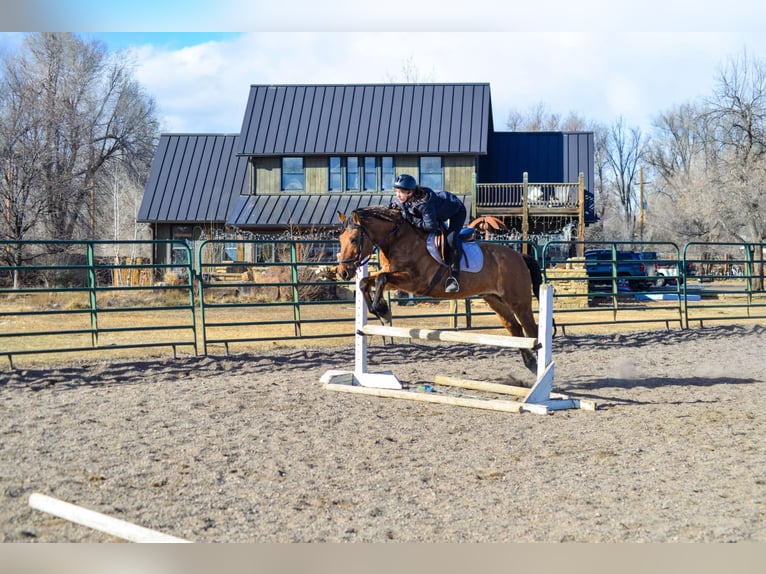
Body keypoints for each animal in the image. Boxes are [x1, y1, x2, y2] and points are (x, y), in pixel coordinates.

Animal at [336, 207, 544, 374]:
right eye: (340, 239)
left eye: (353, 240)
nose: (343, 272)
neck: (398, 240)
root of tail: (519, 256)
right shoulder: (394, 278)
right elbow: (366, 282)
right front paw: (381, 310)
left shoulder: (414, 281)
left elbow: (380, 279)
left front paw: (381, 309)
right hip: (494, 299)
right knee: (514, 328)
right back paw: (531, 364)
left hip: (518, 301)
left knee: (531, 329)